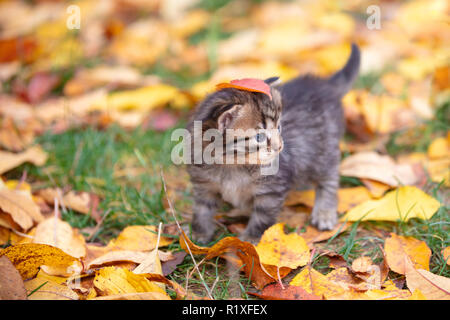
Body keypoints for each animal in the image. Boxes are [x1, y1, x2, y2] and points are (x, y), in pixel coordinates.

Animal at [185, 43, 360, 242]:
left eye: (279, 127)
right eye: (259, 137)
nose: (280, 147)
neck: (232, 165)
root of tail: (325, 85)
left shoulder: (271, 191)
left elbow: (262, 217)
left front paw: (250, 241)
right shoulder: (203, 185)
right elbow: (202, 210)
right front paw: (198, 235)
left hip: (324, 151)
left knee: (329, 178)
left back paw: (324, 212)